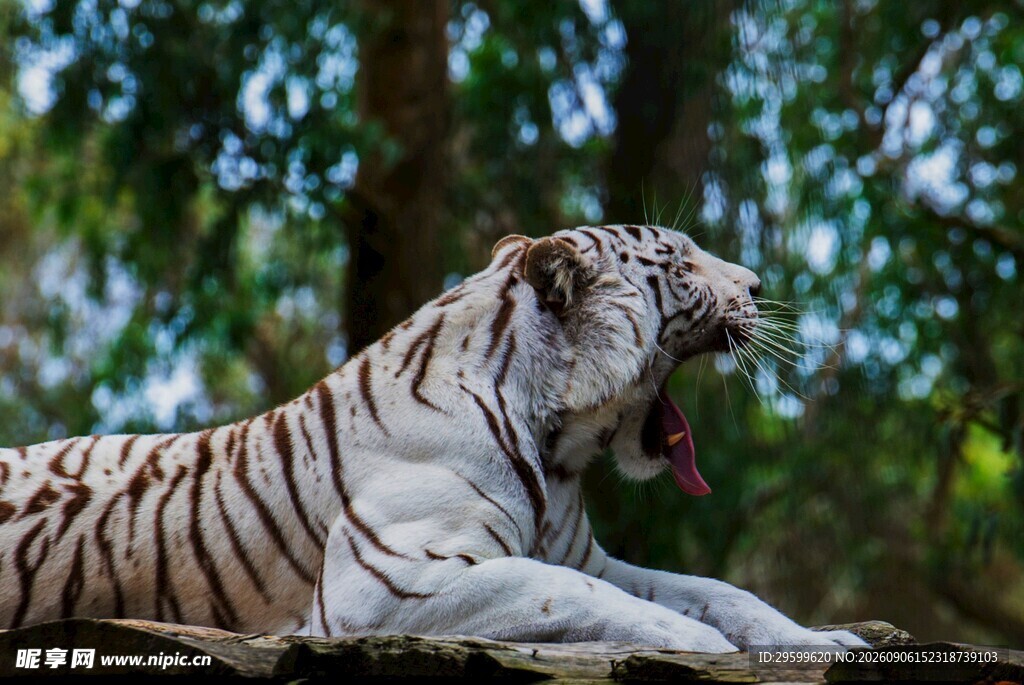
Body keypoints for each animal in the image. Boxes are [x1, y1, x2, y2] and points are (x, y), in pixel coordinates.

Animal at [0, 225, 867, 653]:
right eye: (683, 263)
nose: (758, 284)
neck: (557, 447)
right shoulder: (390, 584)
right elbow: (580, 597)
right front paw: (702, 646)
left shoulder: (585, 552)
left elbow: (719, 589)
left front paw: (825, 638)